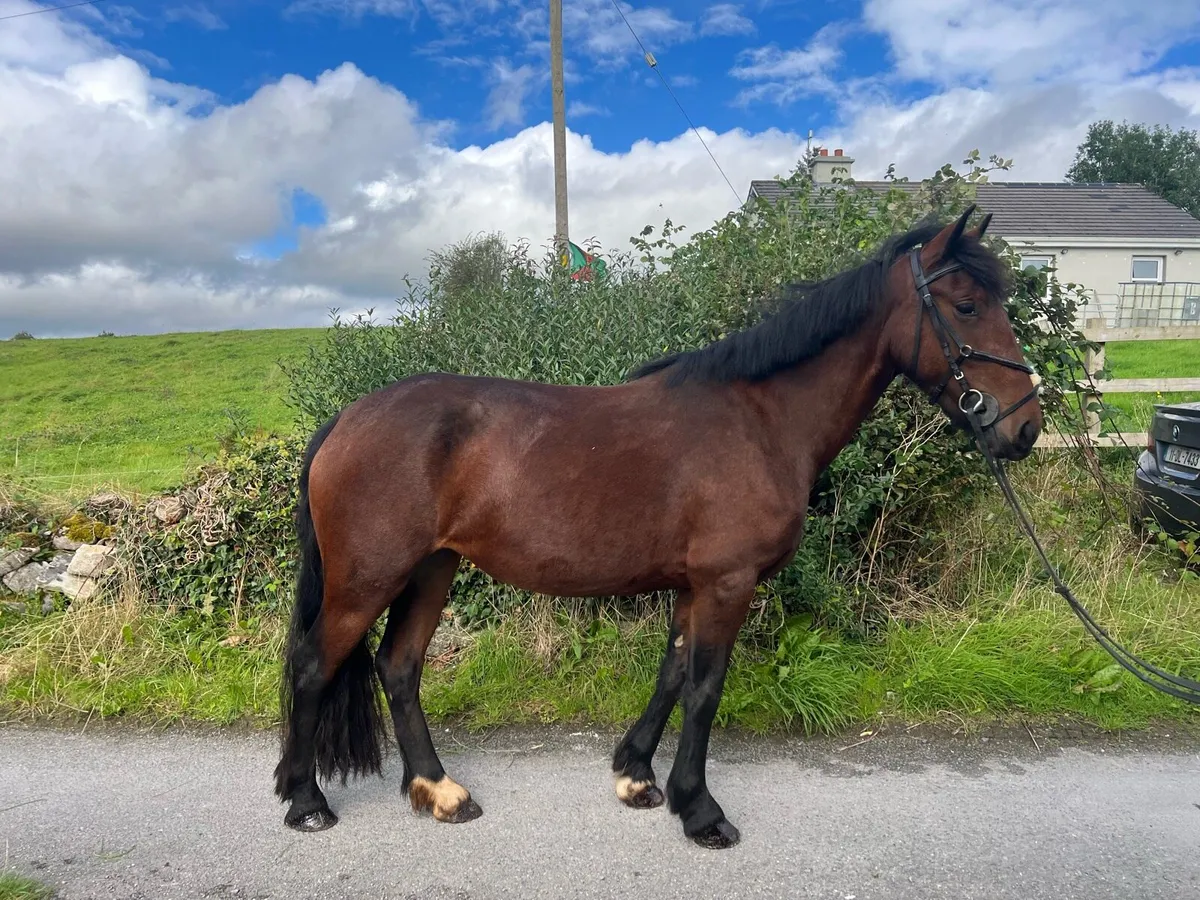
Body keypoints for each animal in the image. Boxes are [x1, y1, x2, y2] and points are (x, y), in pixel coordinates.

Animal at [272, 205, 1043, 850]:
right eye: (967, 306)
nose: (1025, 427)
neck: (761, 420)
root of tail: (347, 418)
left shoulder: (695, 583)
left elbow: (673, 674)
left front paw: (636, 774)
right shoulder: (728, 581)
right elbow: (705, 689)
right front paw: (700, 810)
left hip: (433, 569)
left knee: (399, 667)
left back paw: (438, 791)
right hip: (367, 578)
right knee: (314, 666)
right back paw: (307, 801)